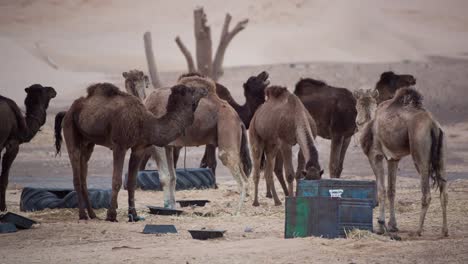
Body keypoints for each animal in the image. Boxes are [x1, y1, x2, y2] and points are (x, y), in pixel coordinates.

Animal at [54, 83, 207, 221]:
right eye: (191, 89)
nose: (204, 89)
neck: (146, 123)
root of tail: (67, 111)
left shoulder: (139, 148)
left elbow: (132, 182)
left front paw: (133, 215)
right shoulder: (119, 146)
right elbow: (116, 180)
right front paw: (111, 215)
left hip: (88, 142)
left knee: (83, 173)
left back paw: (93, 214)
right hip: (70, 129)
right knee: (76, 171)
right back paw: (83, 215)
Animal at [144, 73, 252, 212]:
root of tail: (238, 119)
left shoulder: (158, 145)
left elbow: (164, 177)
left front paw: (167, 207)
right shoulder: (168, 146)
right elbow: (172, 176)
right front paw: (172, 207)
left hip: (227, 127)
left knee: (235, 168)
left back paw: (236, 210)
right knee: (243, 172)